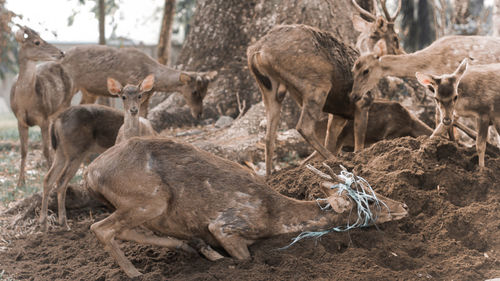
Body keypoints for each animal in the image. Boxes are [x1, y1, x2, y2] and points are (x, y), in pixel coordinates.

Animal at [9, 26, 71, 187]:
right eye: (37, 42)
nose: (62, 52)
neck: (26, 102)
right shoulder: (20, 121)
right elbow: (24, 150)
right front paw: (20, 182)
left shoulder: (44, 118)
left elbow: (45, 150)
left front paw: (50, 179)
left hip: (66, 103)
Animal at [40, 74, 159, 230]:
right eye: (123, 97)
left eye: (140, 95)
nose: (134, 110)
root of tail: (56, 122)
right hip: (75, 151)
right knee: (61, 181)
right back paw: (64, 223)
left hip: (61, 152)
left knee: (48, 178)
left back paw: (44, 223)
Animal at [85, 136, 406, 278]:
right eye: (370, 201)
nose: (403, 204)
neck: (274, 216)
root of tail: (90, 172)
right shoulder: (227, 224)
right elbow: (245, 258)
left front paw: (207, 251)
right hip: (150, 197)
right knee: (99, 228)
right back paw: (136, 273)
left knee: (124, 230)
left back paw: (196, 249)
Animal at [249, 24, 372, 175]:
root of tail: (259, 50)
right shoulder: (363, 101)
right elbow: (359, 142)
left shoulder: (340, 114)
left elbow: (331, 139)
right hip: (317, 83)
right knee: (304, 127)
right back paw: (334, 161)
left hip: (269, 90)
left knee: (269, 137)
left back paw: (269, 176)